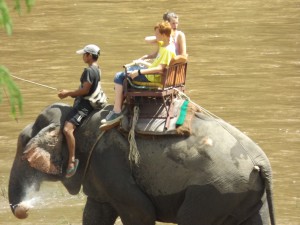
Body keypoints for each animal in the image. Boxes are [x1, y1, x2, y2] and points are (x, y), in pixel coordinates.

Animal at [8, 102, 276, 225]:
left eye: (22, 147)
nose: (24, 209)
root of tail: (261, 162)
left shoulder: (109, 161)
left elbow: (140, 211)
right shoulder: (98, 172)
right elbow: (96, 213)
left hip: (216, 190)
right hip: (245, 193)